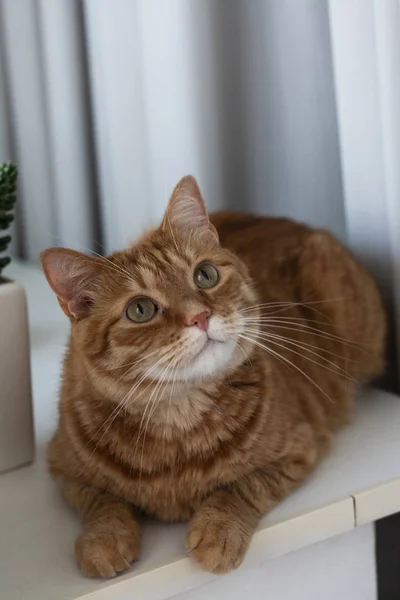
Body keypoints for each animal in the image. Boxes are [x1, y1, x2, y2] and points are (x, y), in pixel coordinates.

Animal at [39, 176, 384, 580]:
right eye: (140, 310)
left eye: (205, 275)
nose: (200, 317)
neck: (177, 421)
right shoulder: (62, 467)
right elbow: (100, 501)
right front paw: (103, 539)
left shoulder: (299, 447)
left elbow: (243, 486)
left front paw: (219, 529)